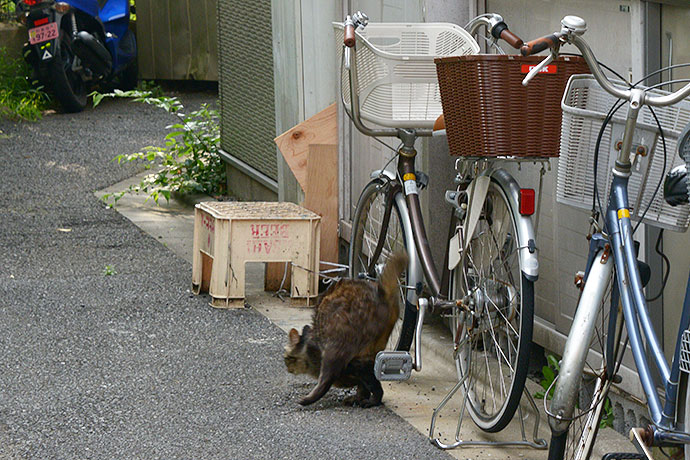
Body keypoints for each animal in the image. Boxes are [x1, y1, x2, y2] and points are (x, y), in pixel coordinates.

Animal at [282, 253, 406, 408]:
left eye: (287, 358)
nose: (287, 368)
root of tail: (380, 292)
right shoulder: (365, 361)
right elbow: (364, 386)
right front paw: (359, 397)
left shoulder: (357, 363)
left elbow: (374, 385)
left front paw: (371, 400)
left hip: (336, 347)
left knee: (327, 378)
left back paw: (308, 399)